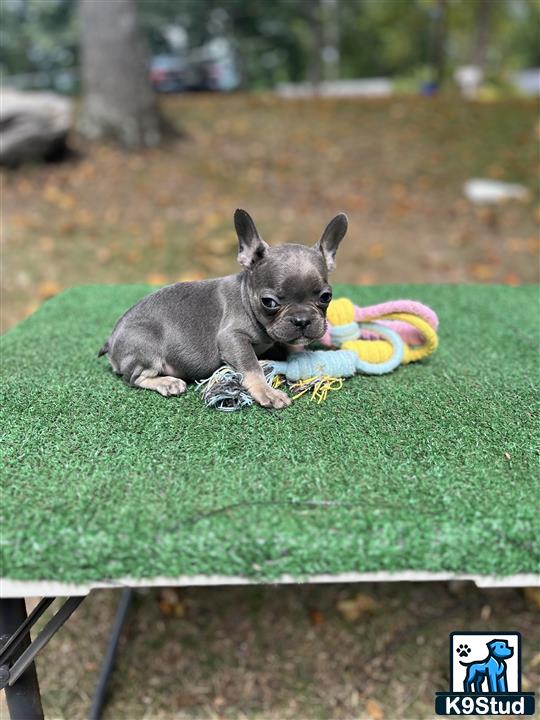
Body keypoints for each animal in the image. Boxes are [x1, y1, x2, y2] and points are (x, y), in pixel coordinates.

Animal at [98, 211, 348, 408]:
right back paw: (166, 381)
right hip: (146, 344)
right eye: (269, 303)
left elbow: (290, 344)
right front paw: (266, 391)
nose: (302, 320)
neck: (247, 298)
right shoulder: (232, 338)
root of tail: (111, 341)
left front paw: (301, 356)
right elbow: (252, 366)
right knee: (134, 378)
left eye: (326, 297)